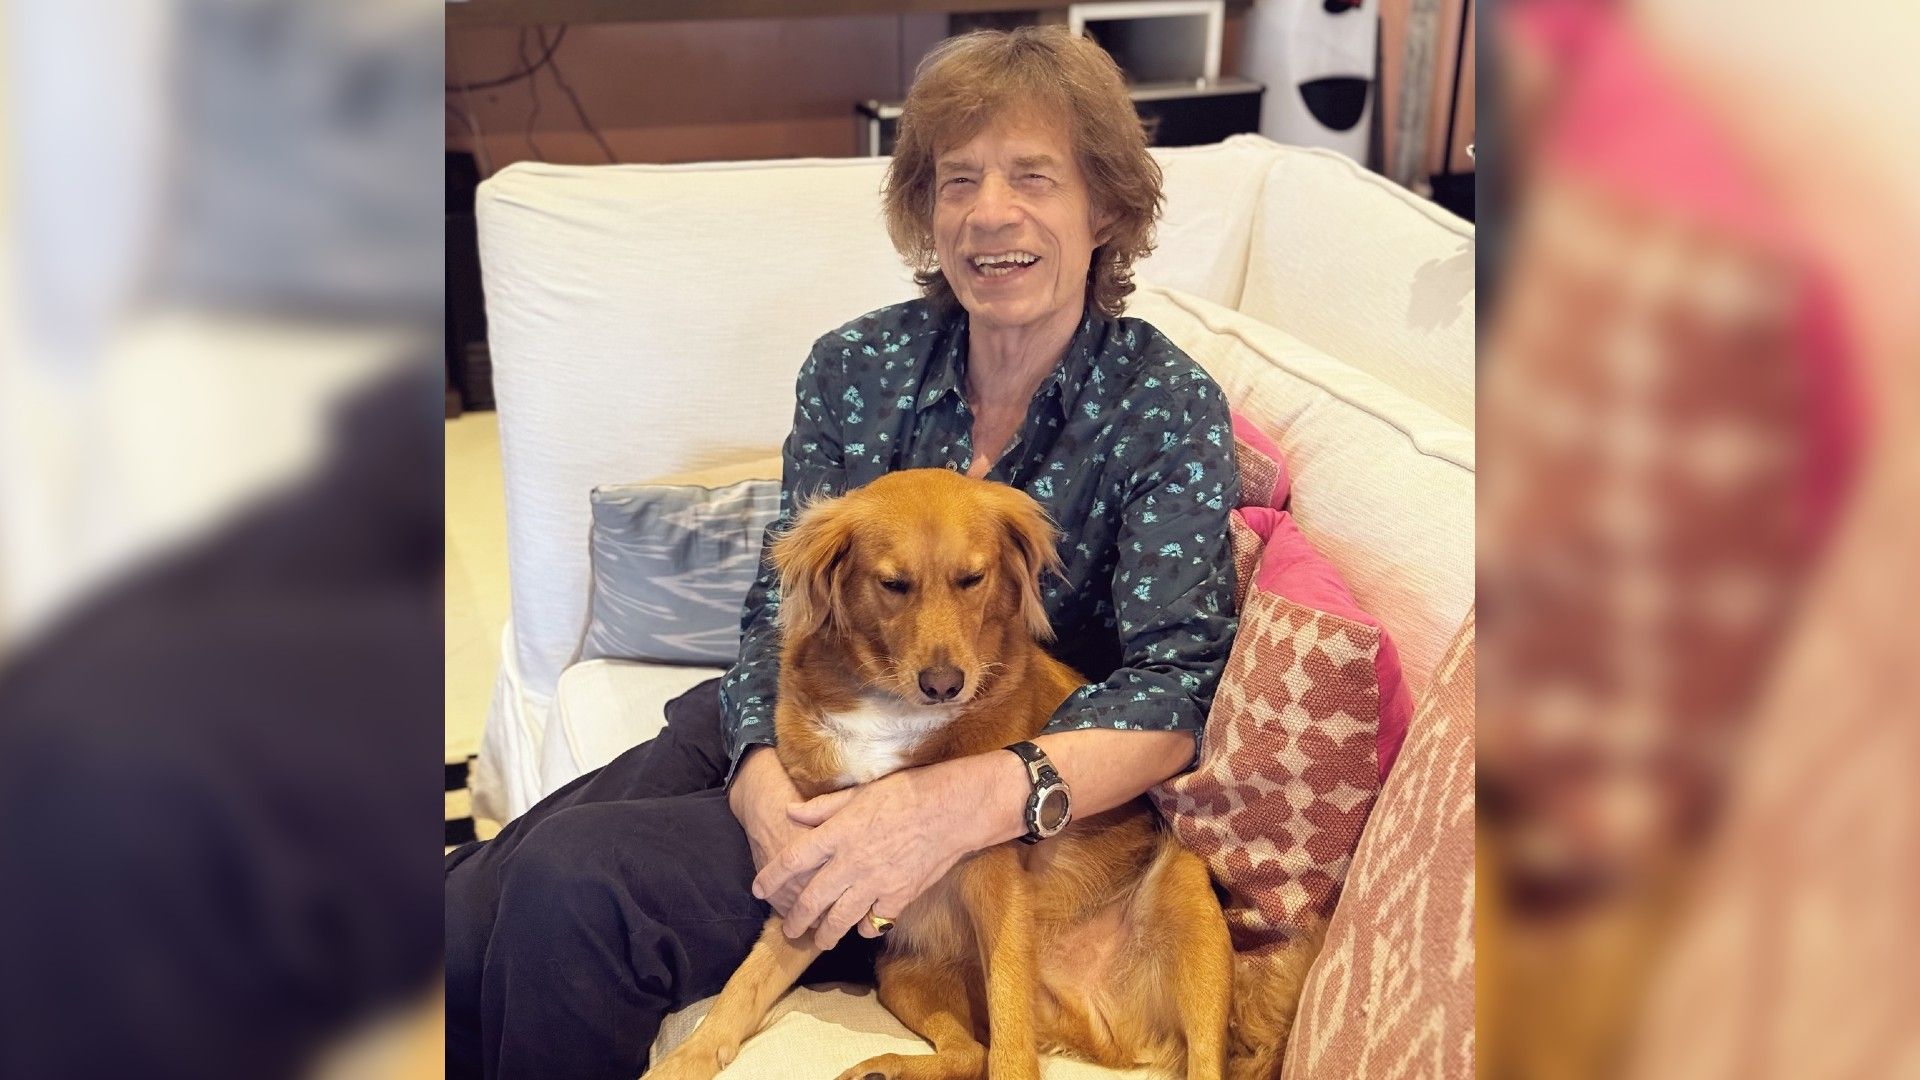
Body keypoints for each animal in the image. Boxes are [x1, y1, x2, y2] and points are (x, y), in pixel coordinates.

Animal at [641, 465, 1305, 1076]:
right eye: (893, 585)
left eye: (971, 579)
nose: (944, 685)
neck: (891, 706)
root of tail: (1100, 1033)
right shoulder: (816, 875)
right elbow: (744, 985)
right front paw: (684, 1060)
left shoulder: (994, 883)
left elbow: (1010, 1031)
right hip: (902, 970)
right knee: (969, 1052)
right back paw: (889, 1067)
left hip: (1189, 905)